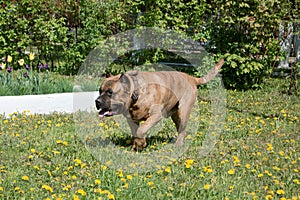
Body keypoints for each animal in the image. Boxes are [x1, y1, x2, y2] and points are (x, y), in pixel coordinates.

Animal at [95, 59, 224, 150]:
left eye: (110, 92)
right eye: (100, 91)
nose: (97, 101)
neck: (135, 93)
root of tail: (191, 78)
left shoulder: (155, 116)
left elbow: (141, 130)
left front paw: (141, 143)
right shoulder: (131, 119)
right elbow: (136, 133)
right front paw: (137, 146)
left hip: (184, 110)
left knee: (182, 129)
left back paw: (178, 145)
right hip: (175, 114)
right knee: (180, 128)